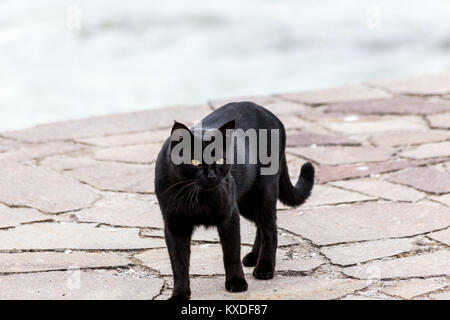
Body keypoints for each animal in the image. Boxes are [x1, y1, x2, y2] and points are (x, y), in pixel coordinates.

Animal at [155, 102, 312, 300]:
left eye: (220, 159)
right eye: (195, 161)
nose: (211, 175)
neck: (197, 197)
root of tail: (271, 114)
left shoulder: (229, 216)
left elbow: (231, 253)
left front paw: (237, 283)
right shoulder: (175, 226)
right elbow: (179, 264)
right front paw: (180, 295)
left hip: (263, 194)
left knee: (271, 228)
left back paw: (264, 268)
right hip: (247, 202)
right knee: (261, 226)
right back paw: (253, 257)